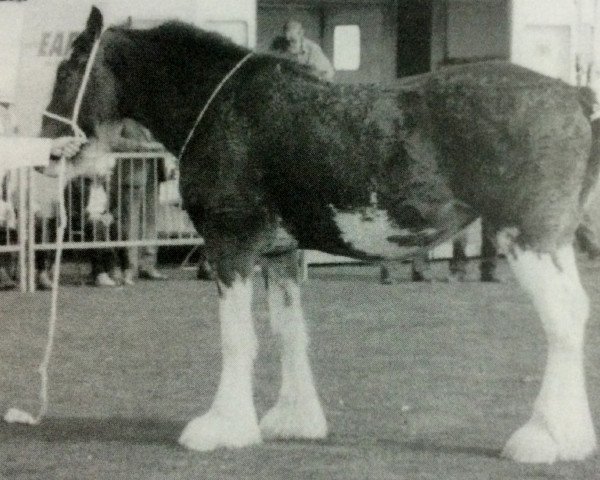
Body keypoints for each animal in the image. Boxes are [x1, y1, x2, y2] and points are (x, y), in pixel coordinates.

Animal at [43, 7, 600, 464]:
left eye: (69, 68)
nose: (49, 149)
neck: (224, 107)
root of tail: (572, 95)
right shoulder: (281, 254)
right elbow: (289, 332)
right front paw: (295, 420)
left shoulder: (231, 246)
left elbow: (237, 339)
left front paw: (223, 426)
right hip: (552, 241)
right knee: (575, 314)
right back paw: (573, 437)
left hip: (528, 238)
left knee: (562, 320)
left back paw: (542, 437)